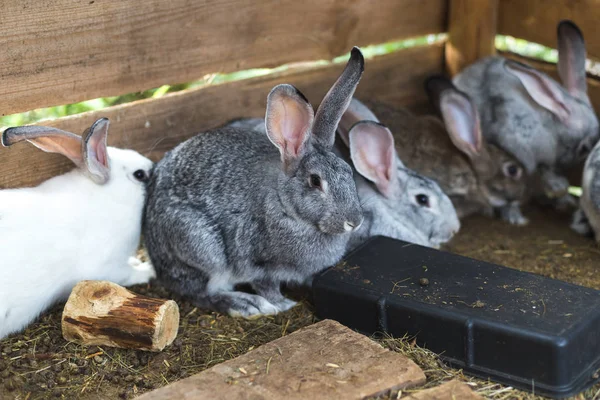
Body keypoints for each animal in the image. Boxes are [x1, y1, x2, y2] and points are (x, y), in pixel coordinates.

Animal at [144, 47, 366, 318]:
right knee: (201, 293)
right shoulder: (258, 264)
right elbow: (266, 285)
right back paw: (245, 304)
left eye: (348, 170)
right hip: (200, 246)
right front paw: (282, 304)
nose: (354, 222)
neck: (285, 205)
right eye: (315, 181)